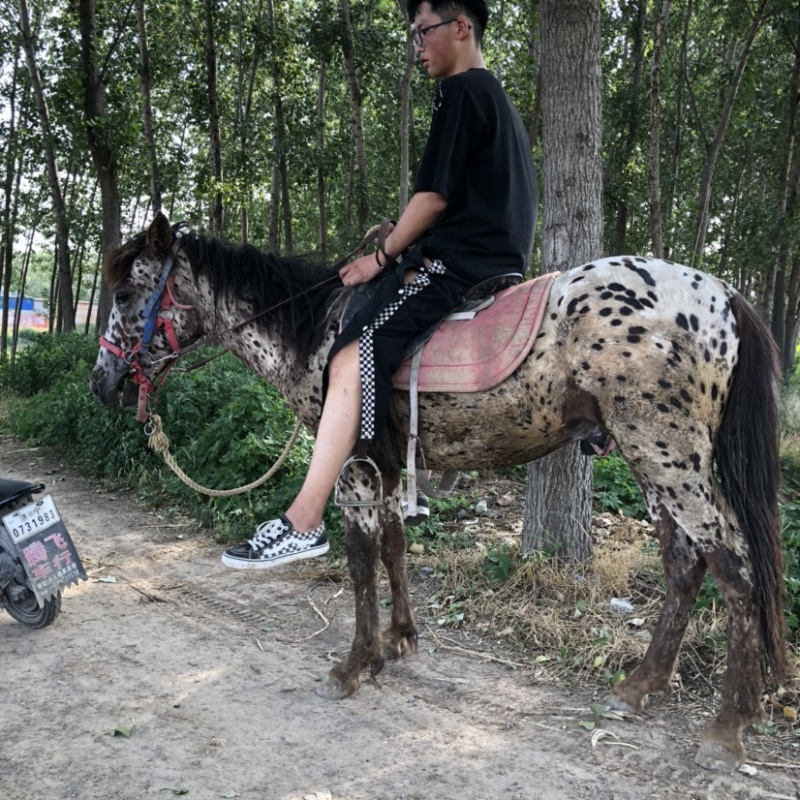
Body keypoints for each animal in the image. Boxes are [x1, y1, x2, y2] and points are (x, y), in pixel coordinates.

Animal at [90, 211, 788, 773]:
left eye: (124, 292)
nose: (102, 382)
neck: (318, 331)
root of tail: (721, 293)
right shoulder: (390, 465)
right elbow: (395, 546)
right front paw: (400, 639)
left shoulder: (355, 464)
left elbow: (361, 558)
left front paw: (355, 664)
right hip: (650, 461)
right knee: (685, 565)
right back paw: (639, 687)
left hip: (666, 453)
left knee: (734, 568)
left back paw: (728, 726)